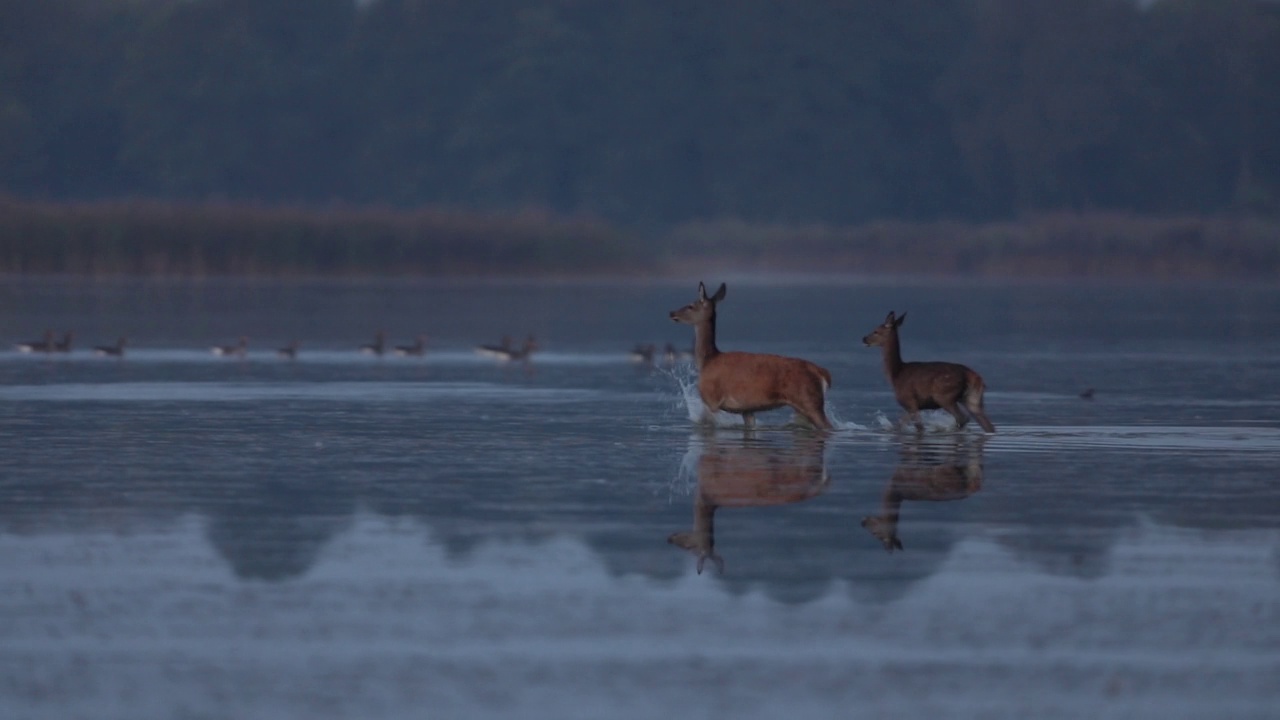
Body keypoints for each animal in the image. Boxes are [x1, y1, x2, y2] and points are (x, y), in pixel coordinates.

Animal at [665, 279, 834, 425]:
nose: (672, 312)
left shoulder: (711, 399)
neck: (708, 360)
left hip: (809, 400)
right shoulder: (746, 409)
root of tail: (822, 371)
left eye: (690, 305)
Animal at [865, 308, 993, 430]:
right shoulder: (912, 406)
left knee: (962, 418)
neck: (896, 373)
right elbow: (900, 426)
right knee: (988, 425)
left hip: (944, 395)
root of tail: (973, 376)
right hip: (973, 399)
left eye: (876, 331)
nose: (864, 338)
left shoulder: (909, 400)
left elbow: (916, 426)